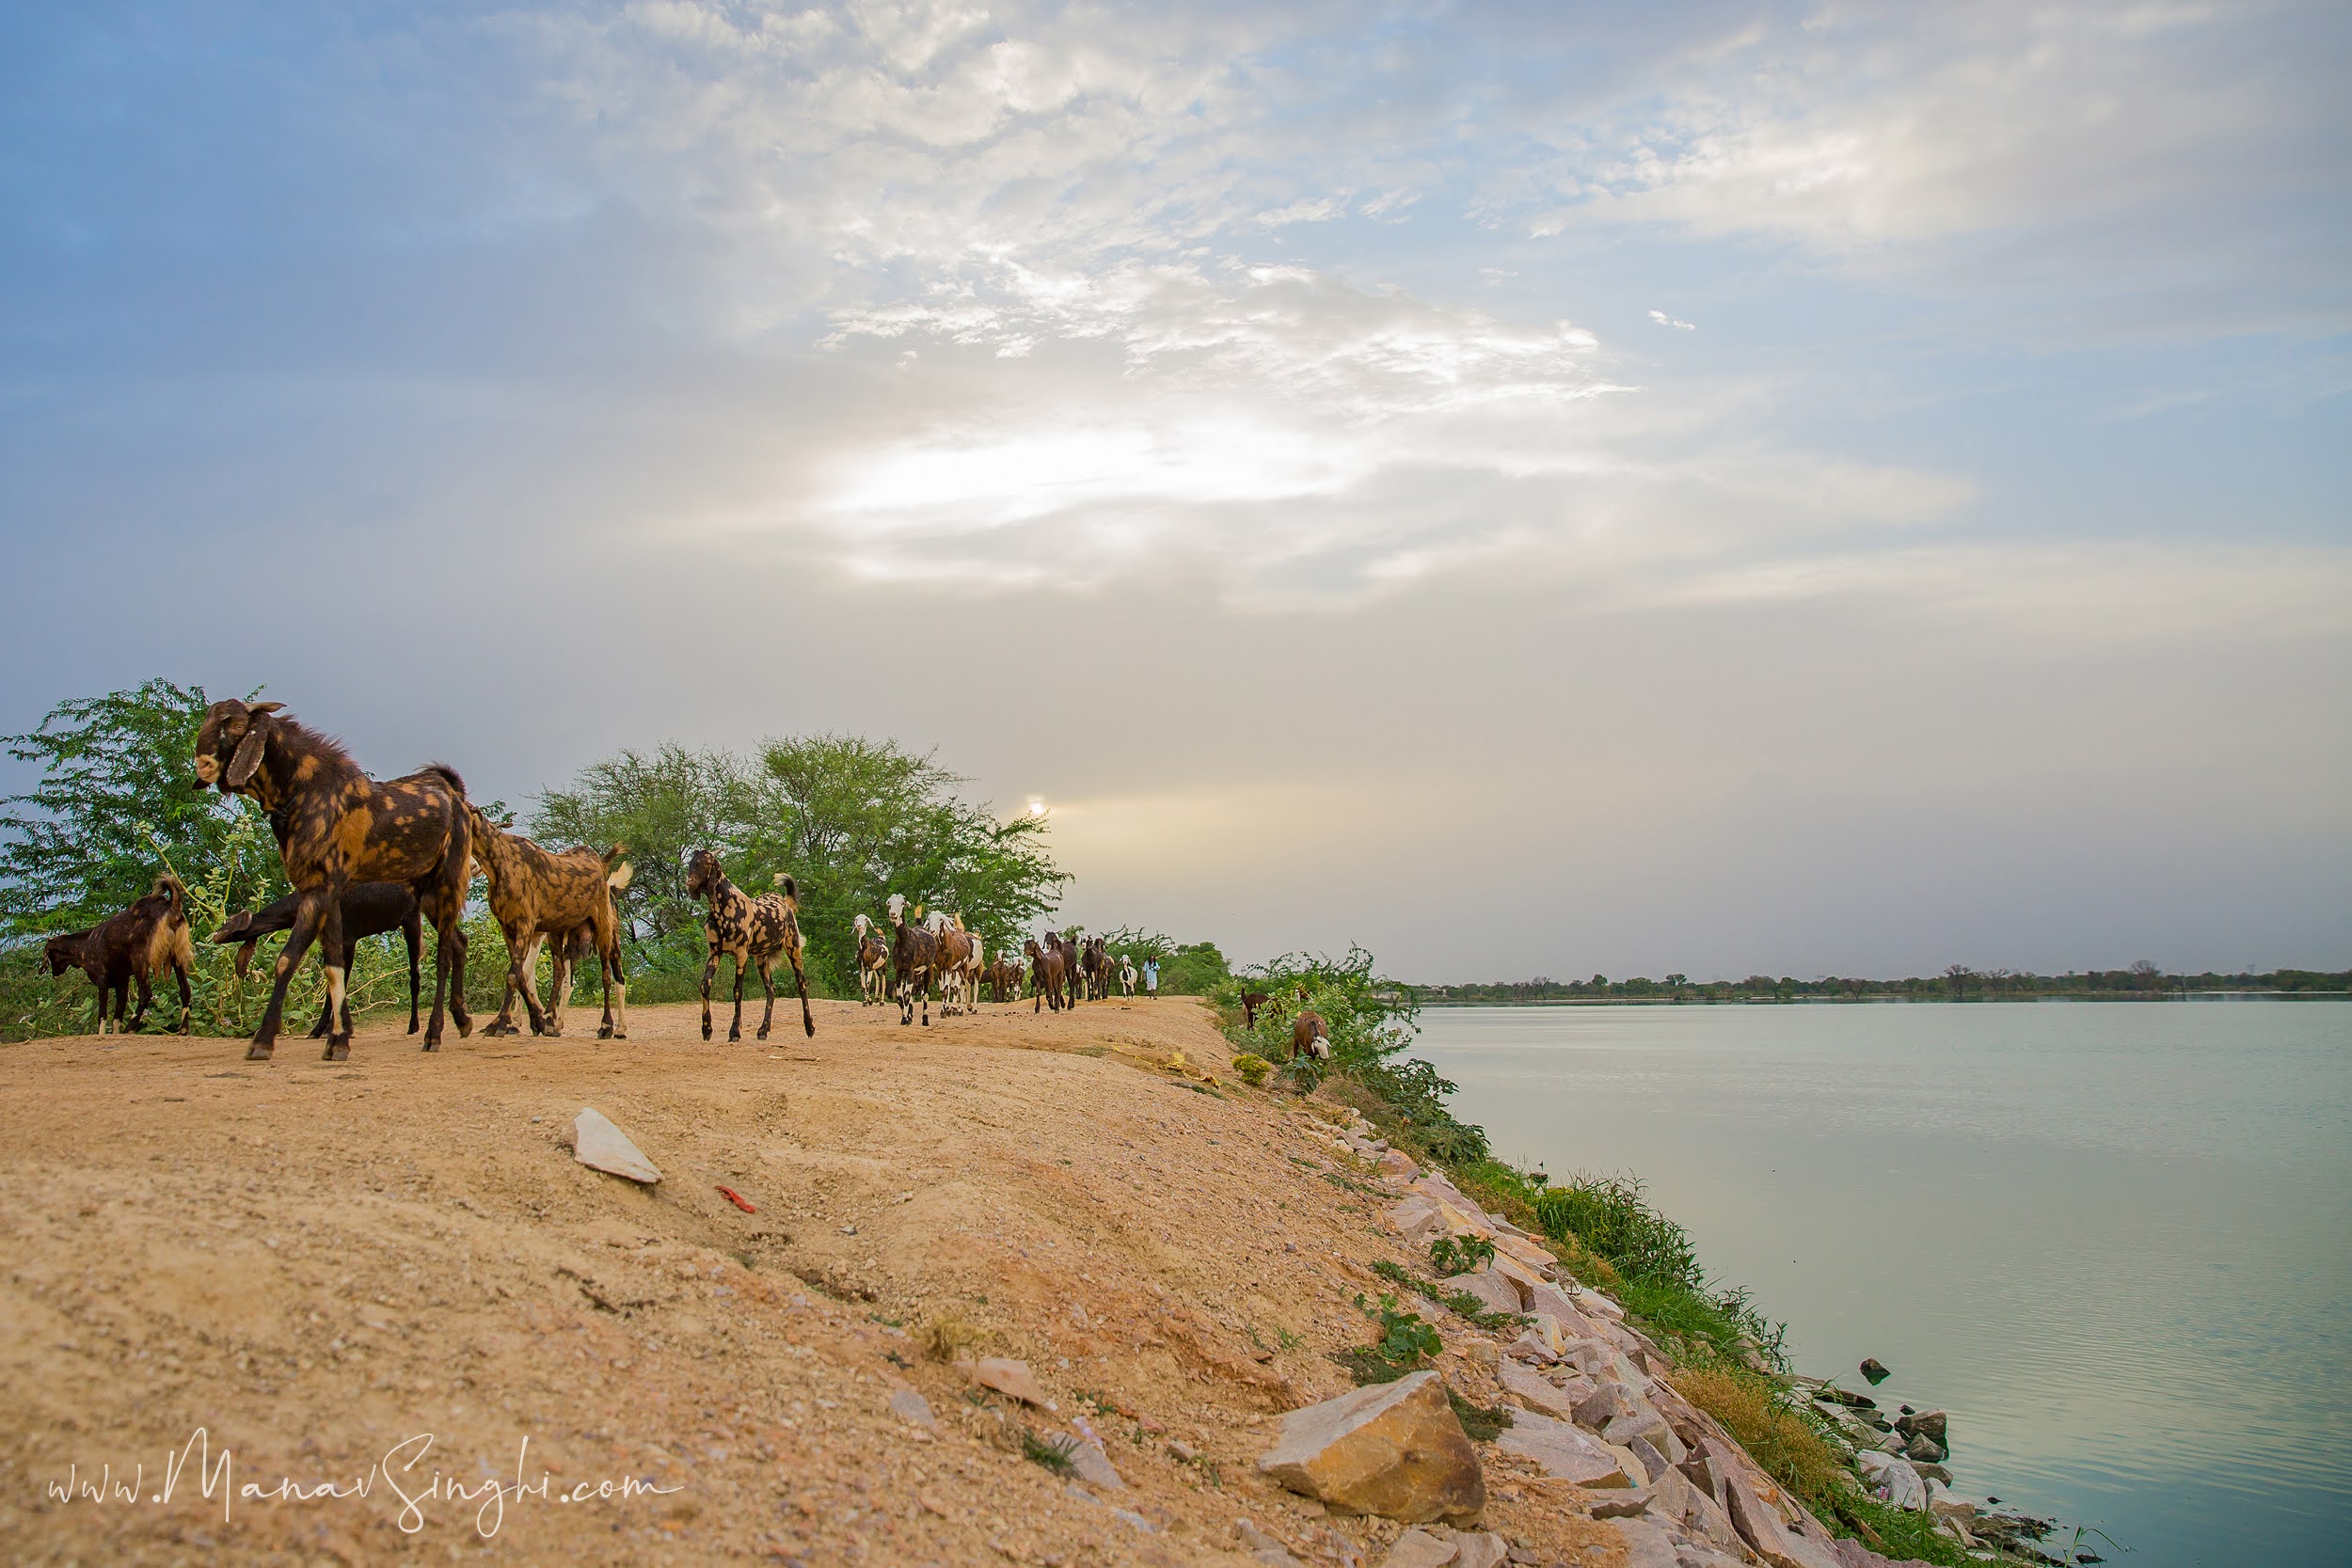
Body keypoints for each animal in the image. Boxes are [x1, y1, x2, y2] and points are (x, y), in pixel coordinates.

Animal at [42, 879, 194, 1034]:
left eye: (50, 955)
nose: (55, 974)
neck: (84, 945)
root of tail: (173, 906)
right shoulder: (122, 982)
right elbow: (117, 1016)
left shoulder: (102, 979)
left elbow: (102, 1015)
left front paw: (102, 1034)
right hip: (177, 954)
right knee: (185, 989)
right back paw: (184, 1029)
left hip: (139, 959)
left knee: (145, 993)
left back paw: (130, 1028)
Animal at [209, 883, 425, 1043]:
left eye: (229, 923)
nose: (215, 934)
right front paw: (323, 1029)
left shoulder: (348, 937)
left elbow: (339, 983)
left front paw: (333, 1029)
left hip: (412, 920)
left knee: (415, 976)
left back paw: (413, 1026)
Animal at [468, 808, 630, 1043]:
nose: (472, 866)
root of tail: (610, 887)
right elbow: (527, 975)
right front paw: (532, 1020)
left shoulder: (534, 934)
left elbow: (524, 973)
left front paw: (515, 1022)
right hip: (571, 941)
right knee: (568, 980)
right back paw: (557, 1021)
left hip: (607, 936)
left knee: (617, 976)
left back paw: (618, 1028)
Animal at [687, 846, 814, 1043]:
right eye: (691, 862)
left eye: (707, 862)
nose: (689, 882)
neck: (727, 907)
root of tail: (786, 903)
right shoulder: (715, 952)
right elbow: (704, 985)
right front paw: (706, 1029)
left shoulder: (741, 954)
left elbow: (737, 990)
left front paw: (734, 1032)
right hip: (761, 959)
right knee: (771, 990)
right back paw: (763, 1030)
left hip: (793, 948)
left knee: (801, 984)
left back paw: (809, 1028)